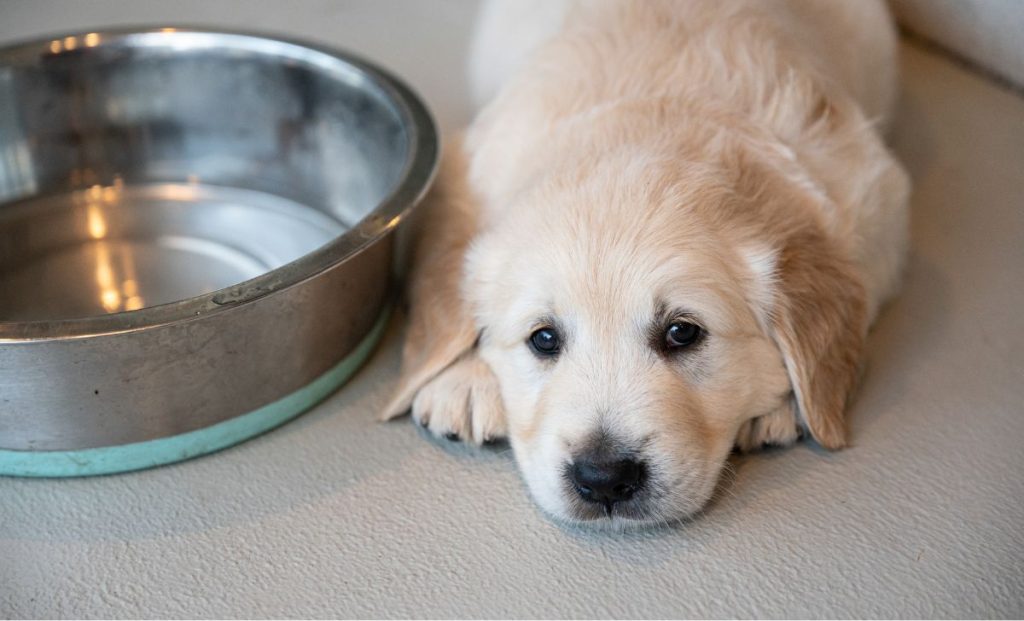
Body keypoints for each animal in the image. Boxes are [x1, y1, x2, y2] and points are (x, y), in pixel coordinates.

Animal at [385, 0, 913, 528]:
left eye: (682, 332)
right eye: (544, 338)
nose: (603, 478)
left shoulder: (874, 197)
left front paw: (781, 405)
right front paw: (466, 379)